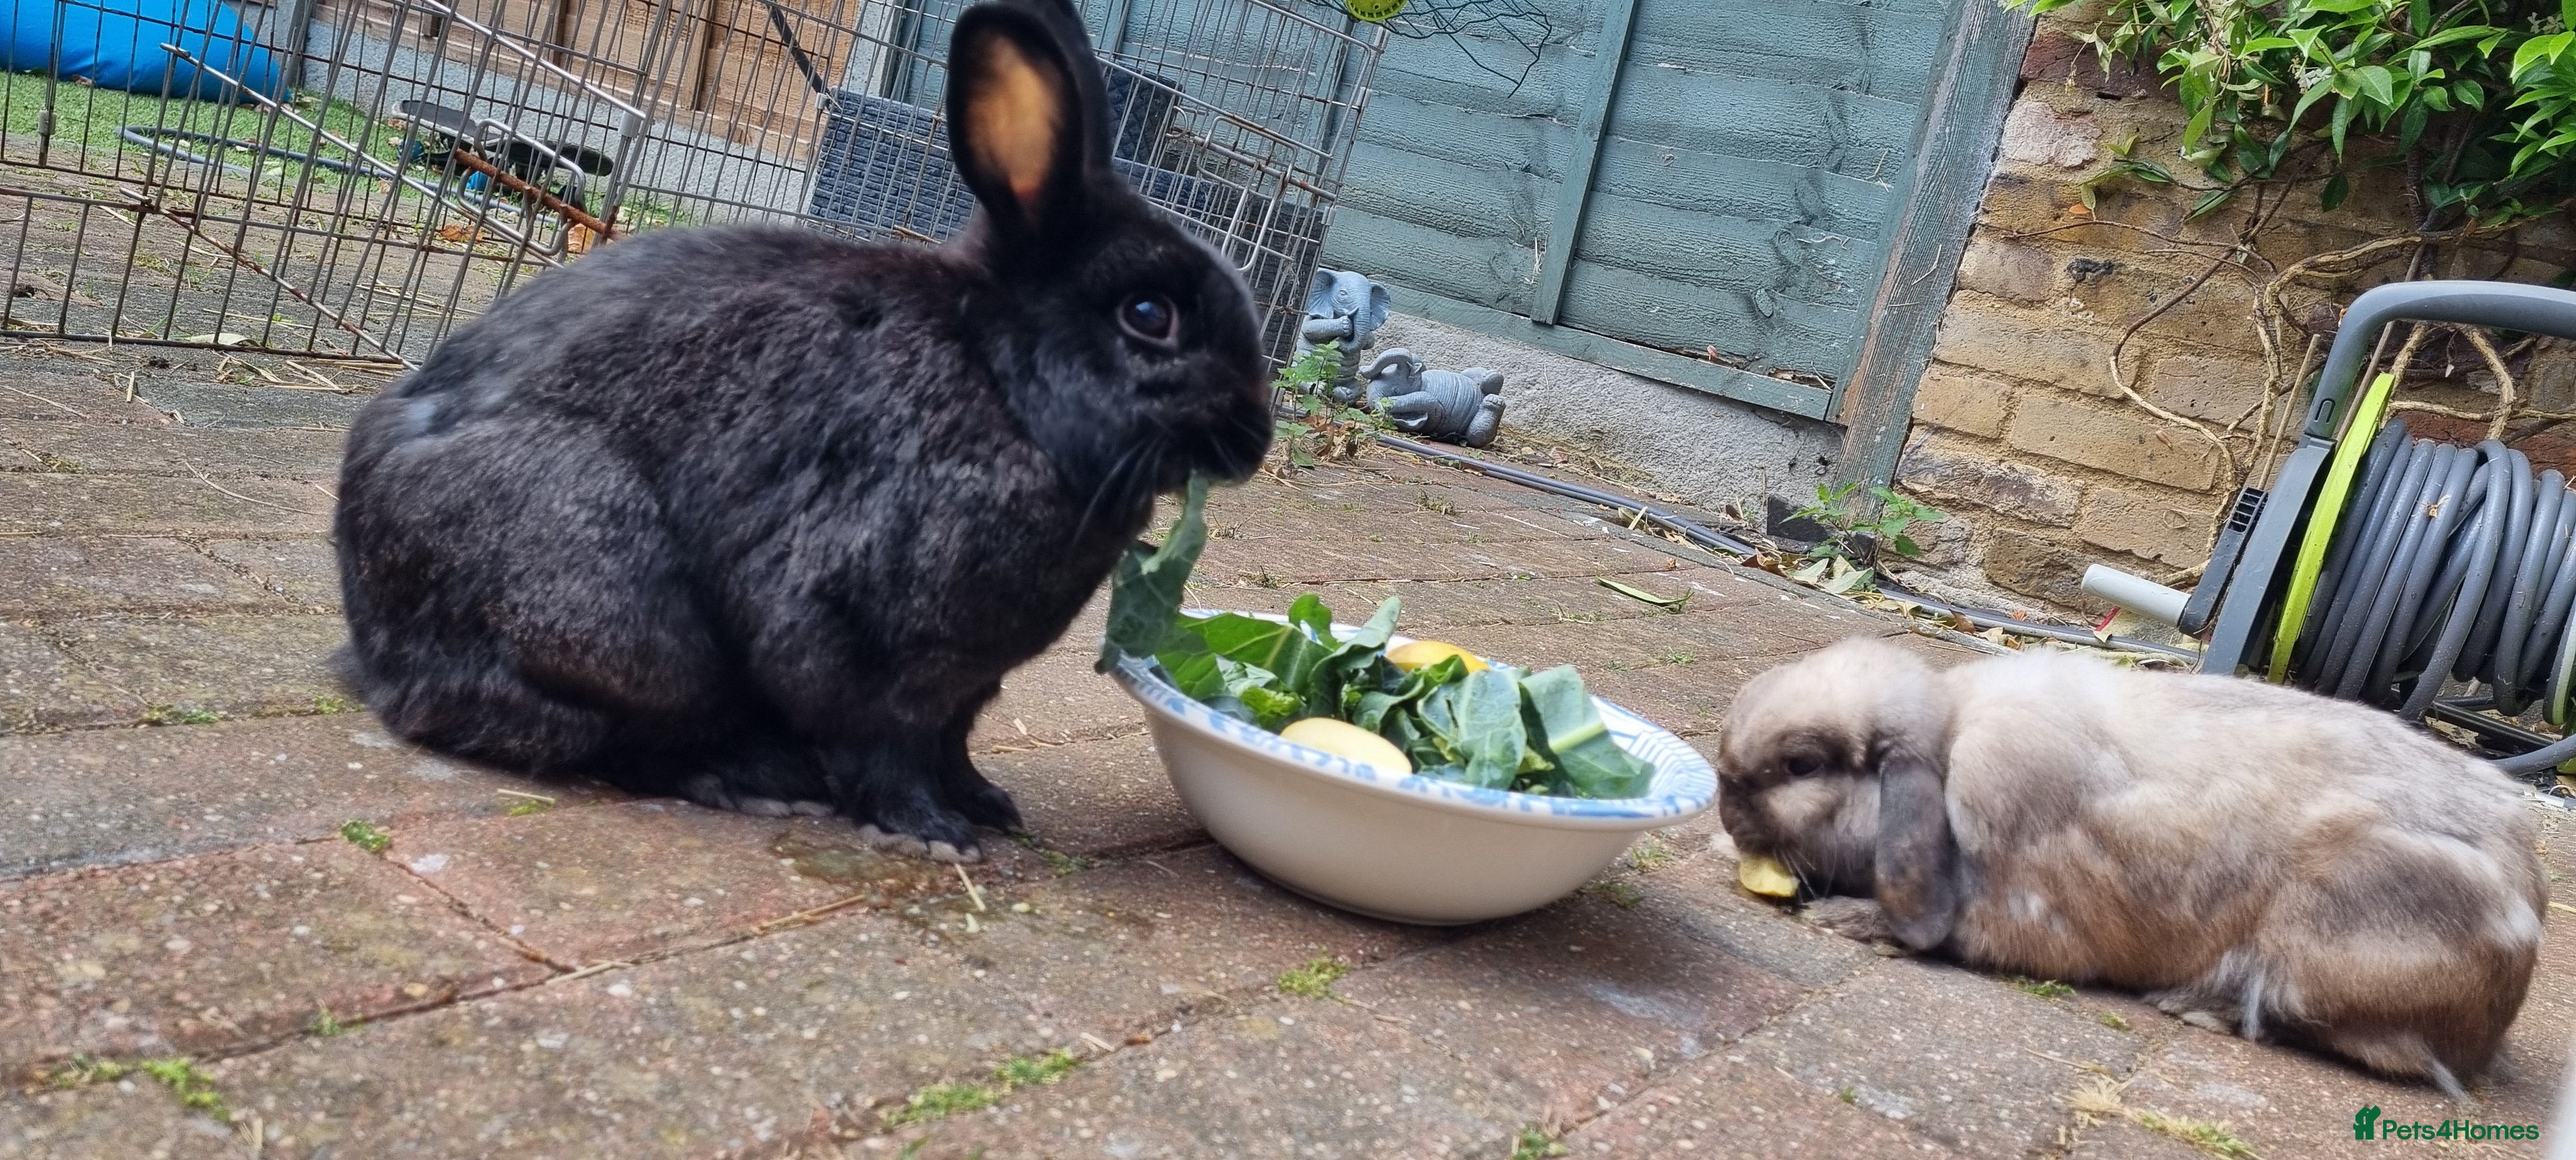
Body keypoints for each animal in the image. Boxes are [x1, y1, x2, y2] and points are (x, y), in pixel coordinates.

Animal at [331, 0, 1270, 863]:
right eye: (1149, 316)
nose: (1255, 439)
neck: (1001, 381)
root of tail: (370, 648)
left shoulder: (965, 683)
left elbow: (954, 742)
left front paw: (988, 804)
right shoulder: (858, 639)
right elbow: (887, 747)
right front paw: (936, 835)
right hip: (616, 613)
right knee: (610, 735)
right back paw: (748, 781)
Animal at [1715, 636, 2547, 1097]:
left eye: (1801, 764)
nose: (1725, 810)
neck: (1949, 745)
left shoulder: (2022, 906)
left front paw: (1851, 919)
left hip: (2329, 939)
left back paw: (2197, 1006)